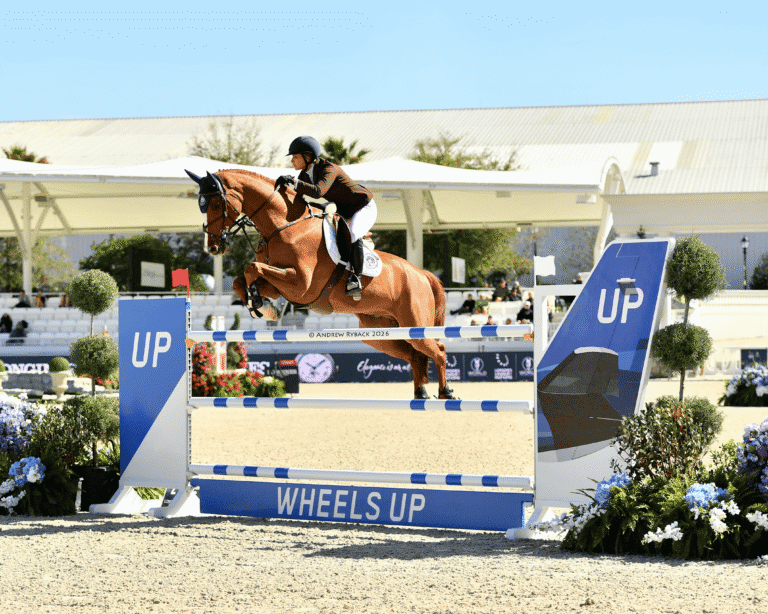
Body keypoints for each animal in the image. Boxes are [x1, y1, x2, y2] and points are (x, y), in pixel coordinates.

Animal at [185, 169, 457, 400]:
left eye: (217, 204)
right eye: (201, 205)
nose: (212, 247)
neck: (284, 226)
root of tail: (422, 274)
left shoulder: (301, 285)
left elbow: (252, 269)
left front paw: (262, 306)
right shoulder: (281, 283)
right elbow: (241, 280)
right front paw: (264, 306)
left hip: (415, 323)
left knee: (438, 350)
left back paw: (446, 392)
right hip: (380, 332)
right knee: (414, 354)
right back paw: (422, 393)